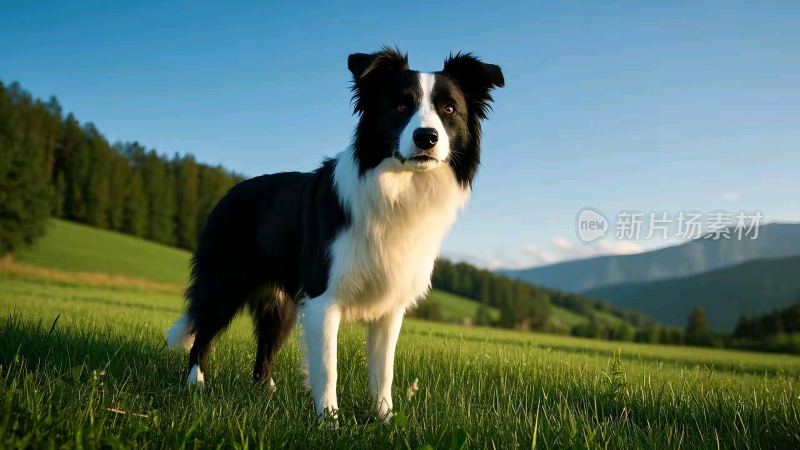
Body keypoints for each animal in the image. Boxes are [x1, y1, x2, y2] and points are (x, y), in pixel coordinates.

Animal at [166, 47, 504, 420]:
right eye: (401, 106)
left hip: (281, 302)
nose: (426, 138)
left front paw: (385, 420)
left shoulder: (390, 306)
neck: (398, 189)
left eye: (449, 109)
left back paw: (266, 392)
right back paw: (195, 384)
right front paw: (329, 422)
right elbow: (329, 368)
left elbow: (384, 371)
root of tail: (229, 192)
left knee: (265, 349)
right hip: (225, 283)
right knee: (202, 333)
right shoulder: (322, 296)